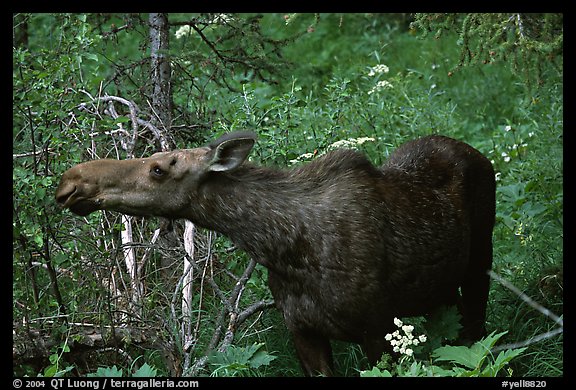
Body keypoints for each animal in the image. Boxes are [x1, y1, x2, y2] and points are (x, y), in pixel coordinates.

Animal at [55, 133, 496, 376]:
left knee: (476, 331)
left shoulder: (377, 328)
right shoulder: (302, 329)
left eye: (159, 168)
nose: (70, 182)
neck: (284, 249)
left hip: (481, 262)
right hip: (439, 287)